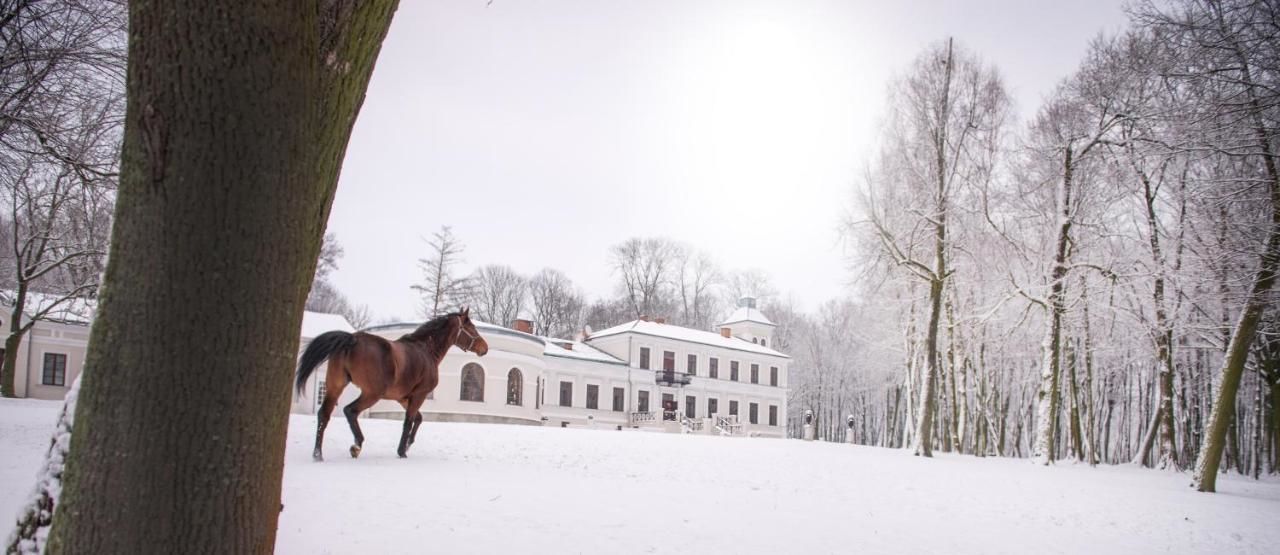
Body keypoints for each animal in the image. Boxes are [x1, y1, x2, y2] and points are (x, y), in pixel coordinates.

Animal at [295, 309, 488, 462]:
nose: (484, 348)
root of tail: (352, 339)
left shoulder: (402, 398)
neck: (426, 350)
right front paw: (402, 451)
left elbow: (418, 419)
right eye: (471, 328)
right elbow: (409, 421)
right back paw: (356, 446)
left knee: (324, 415)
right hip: (371, 393)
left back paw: (318, 454)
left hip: (336, 387)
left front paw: (409, 444)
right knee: (350, 411)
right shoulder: (419, 395)